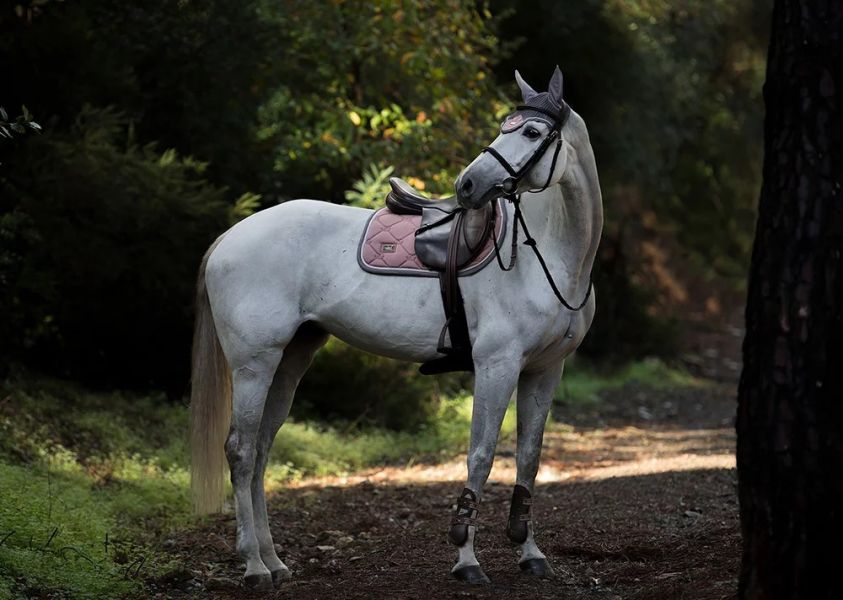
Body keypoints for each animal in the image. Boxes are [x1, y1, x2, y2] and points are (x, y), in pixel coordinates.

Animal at [190, 68, 600, 588]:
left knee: (261, 449)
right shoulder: (498, 365)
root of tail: (231, 235)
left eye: (530, 131)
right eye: (504, 127)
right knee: (241, 452)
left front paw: (530, 553)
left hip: (290, 359)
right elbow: (481, 453)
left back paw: (275, 561)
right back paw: (254, 566)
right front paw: (466, 560)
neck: (545, 255)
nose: (467, 185)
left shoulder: (545, 371)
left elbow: (528, 458)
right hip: (253, 364)